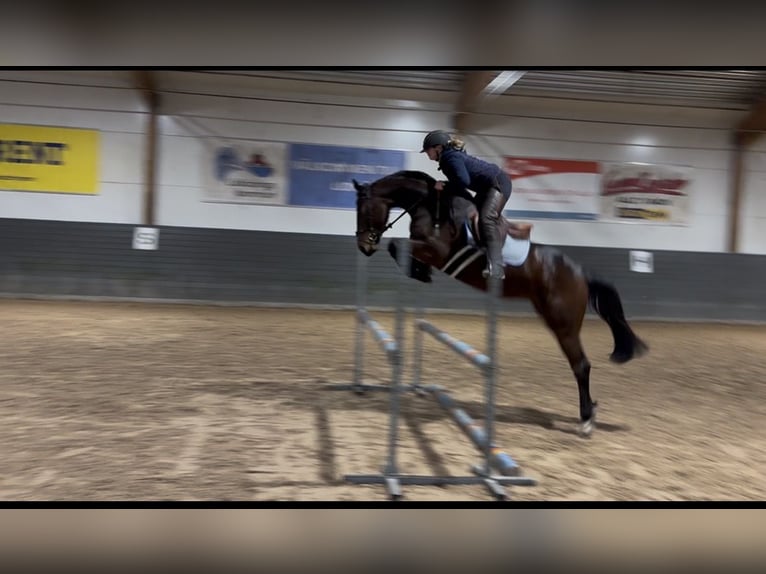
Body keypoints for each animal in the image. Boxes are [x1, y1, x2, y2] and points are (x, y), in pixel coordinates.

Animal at [354, 169, 648, 437]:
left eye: (364, 210)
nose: (363, 247)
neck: (429, 205)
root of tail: (581, 274)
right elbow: (397, 247)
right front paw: (420, 272)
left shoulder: (436, 250)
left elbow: (396, 244)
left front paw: (419, 272)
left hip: (564, 325)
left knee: (581, 366)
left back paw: (586, 420)